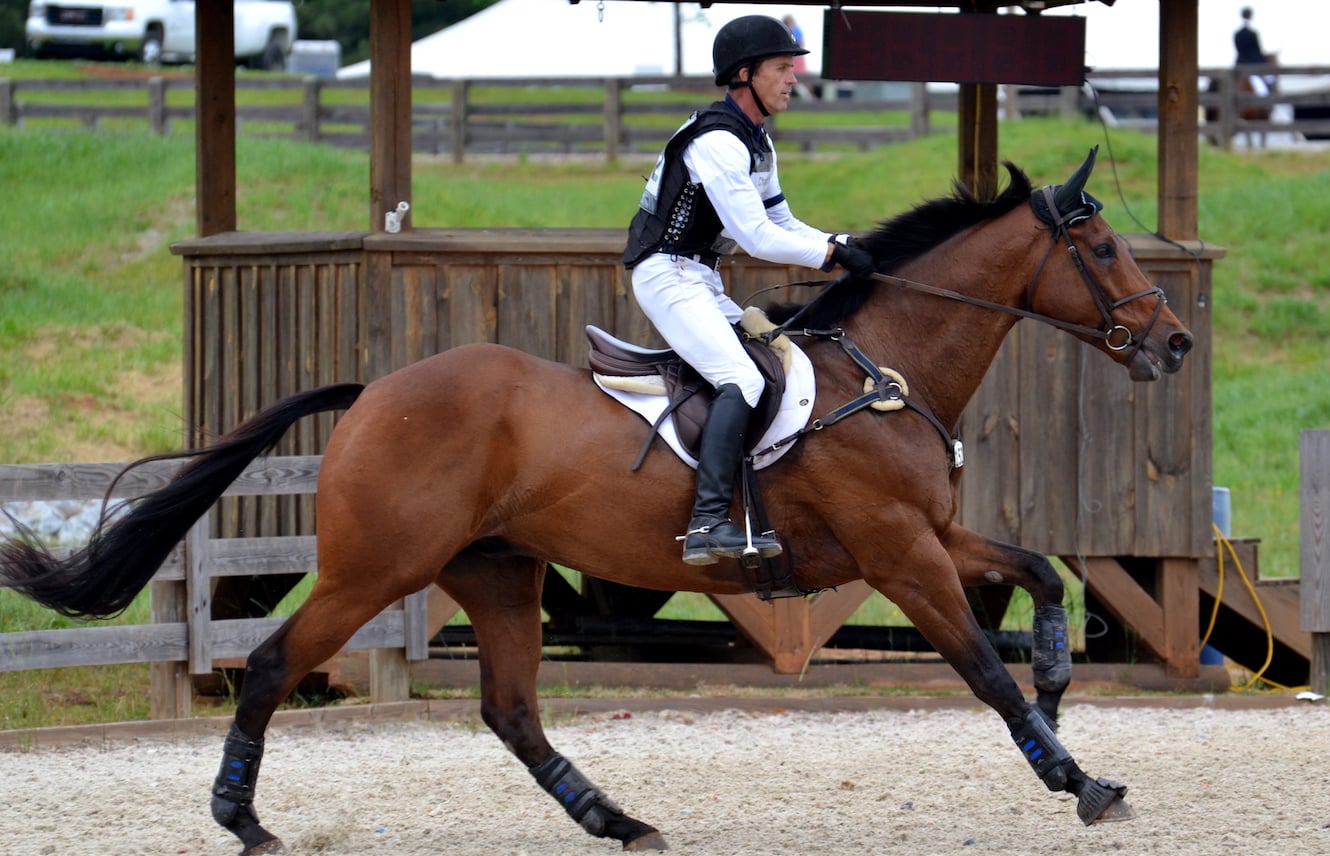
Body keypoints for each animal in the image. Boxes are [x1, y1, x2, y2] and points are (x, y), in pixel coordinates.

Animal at [2, 148, 1197, 856]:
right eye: (1099, 246)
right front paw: (1078, 779)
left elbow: (1039, 576)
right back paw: (241, 817)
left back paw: (615, 818)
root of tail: (377, 388)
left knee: (512, 709)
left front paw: (1060, 686)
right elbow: (983, 670)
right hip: (375, 566)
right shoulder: (900, 554)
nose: (1176, 341)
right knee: (269, 663)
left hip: (497, 569)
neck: (886, 370)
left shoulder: (931, 534)